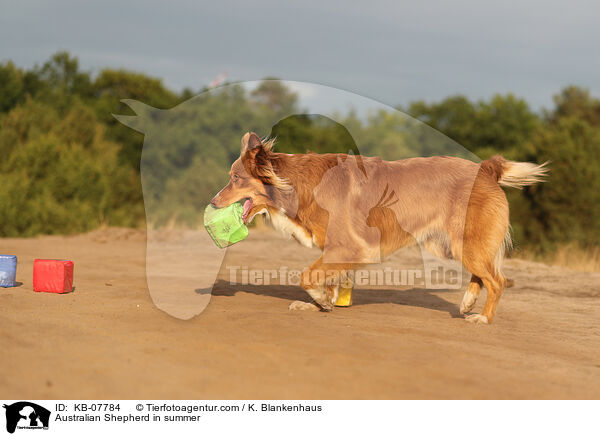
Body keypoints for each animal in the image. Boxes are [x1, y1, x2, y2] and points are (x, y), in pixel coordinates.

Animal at [212, 132, 548, 324]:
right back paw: (466, 304)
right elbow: (327, 280)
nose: (213, 203)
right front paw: (322, 305)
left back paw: (483, 318)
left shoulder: (350, 246)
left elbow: (307, 275)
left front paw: (320, 301)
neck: (297, 184)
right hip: (454, 244)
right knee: (482, 275)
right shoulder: (336, 249)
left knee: (497, 280)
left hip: (466, 242)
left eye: (235, 179)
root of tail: (486, 168)